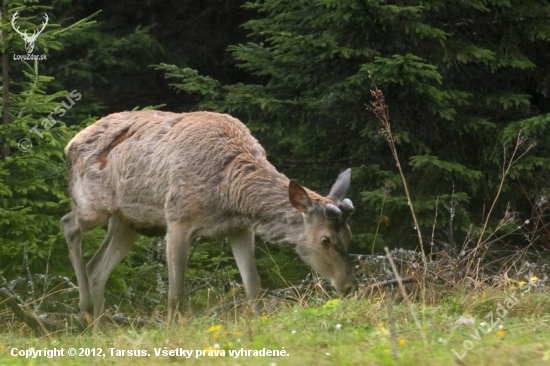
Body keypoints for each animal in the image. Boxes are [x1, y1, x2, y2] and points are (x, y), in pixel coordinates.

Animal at [62, 110, 358, 322]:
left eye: (349, 234)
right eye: (326, 240)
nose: (348, 286)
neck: (230, 193)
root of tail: (69, 145)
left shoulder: (240, 227)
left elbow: (253, 284)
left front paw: (260, 323)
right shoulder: (178, 218)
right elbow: (176, 294)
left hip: (129, 221)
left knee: (97, 267)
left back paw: (98, 328)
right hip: (94, 205)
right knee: (68, 224)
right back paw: (84, 308)